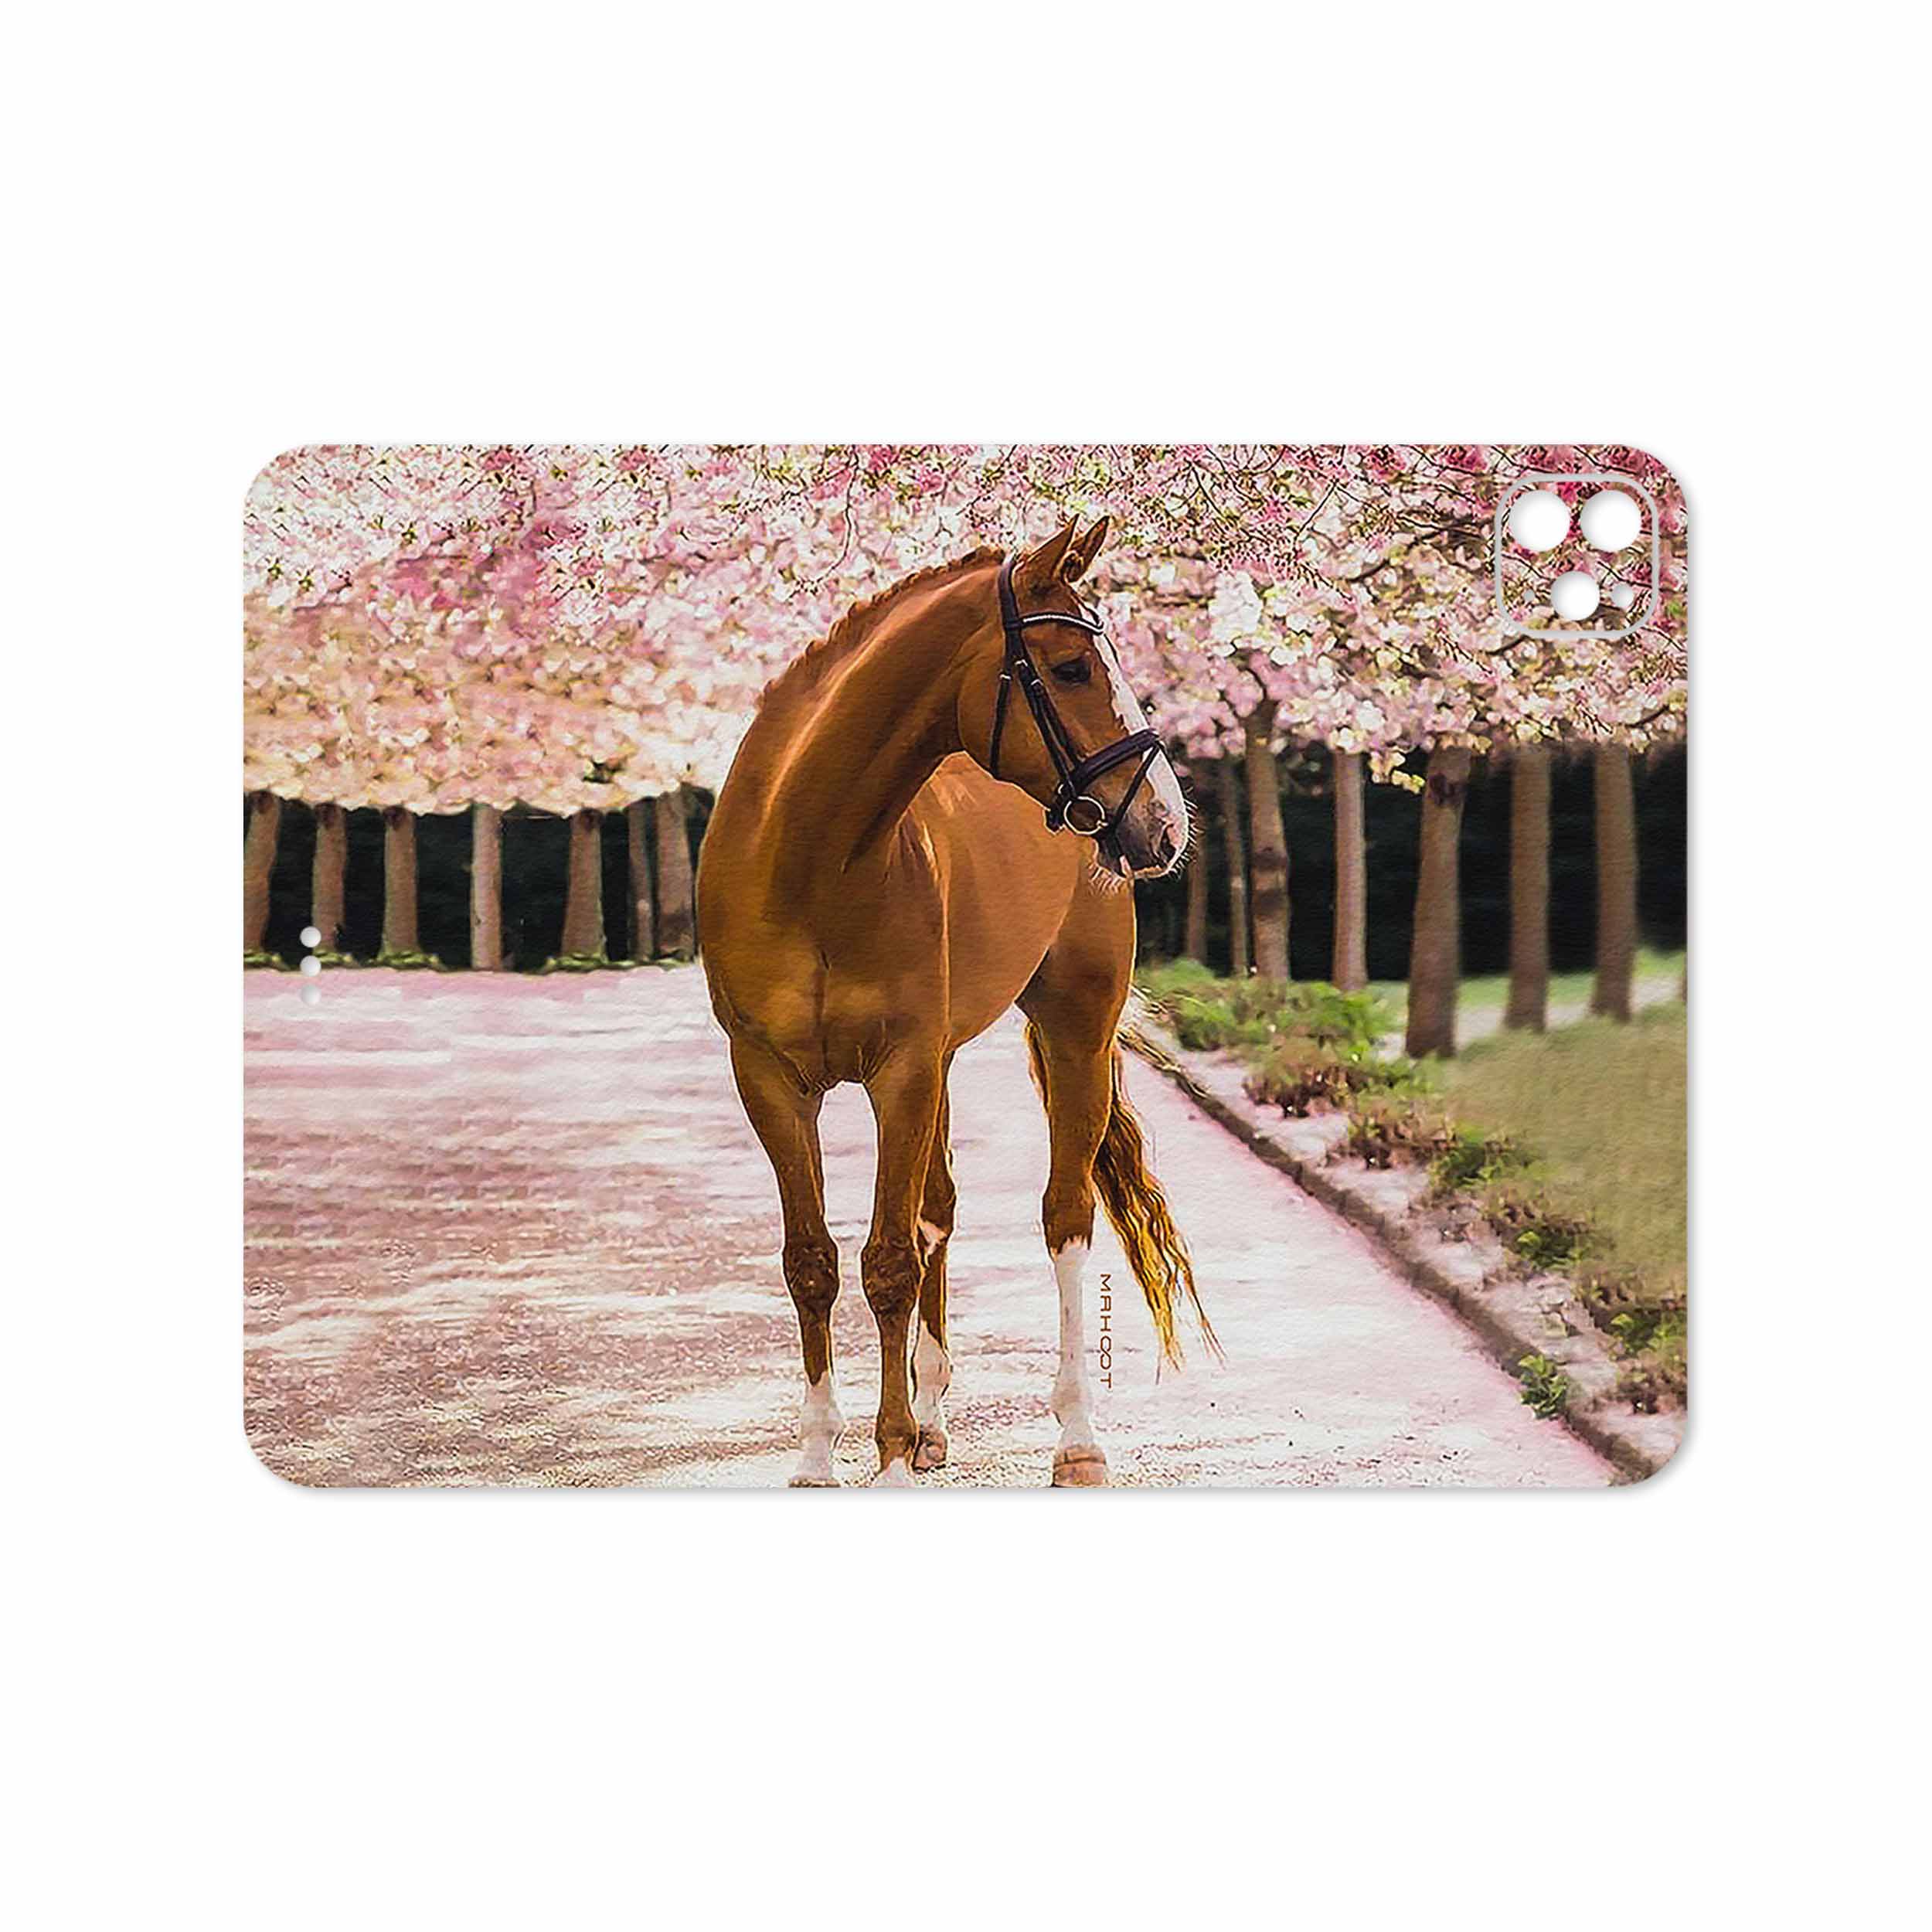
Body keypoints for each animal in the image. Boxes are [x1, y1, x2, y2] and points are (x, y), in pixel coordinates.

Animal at [697, 516, 1215, 1486]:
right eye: (1071, 668)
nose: (1164, 824)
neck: (810, 860)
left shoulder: (900, 1070)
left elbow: (889, 1261)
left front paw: (890, 1456)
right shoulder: (771, 1079)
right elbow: (814, 1260)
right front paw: (823, 1456)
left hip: (1073, 1034)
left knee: (1064, 1217)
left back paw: (1075, 1439)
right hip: (938, 1062)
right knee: (938, 1208)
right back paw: (935, 1420)